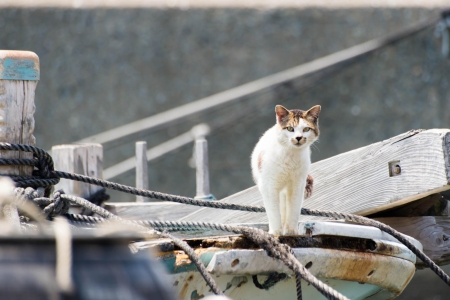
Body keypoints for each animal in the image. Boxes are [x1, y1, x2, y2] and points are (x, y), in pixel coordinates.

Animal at [251, 104, 322, 236]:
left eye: (306, 129)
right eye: (290, 128)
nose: (298, 137)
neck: (291, 156)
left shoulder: (298, 185)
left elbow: (293, 209)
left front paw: (290, 231)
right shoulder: (269, 186)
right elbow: (273, 211)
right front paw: (276, 232)